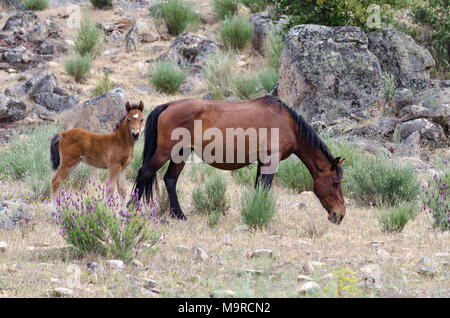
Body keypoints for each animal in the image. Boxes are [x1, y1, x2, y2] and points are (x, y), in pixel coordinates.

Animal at [133, 95, 344, 225]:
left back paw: (180, 215)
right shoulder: (271, 160)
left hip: (181, 153)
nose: (340, 215)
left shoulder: (262, 162)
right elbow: (264, 188)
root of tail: (168, 105)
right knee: (144, 173)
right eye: (335, 182)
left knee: (170, 179)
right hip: (166, 152)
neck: (288, 124)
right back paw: (131, 210)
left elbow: (259, 187)